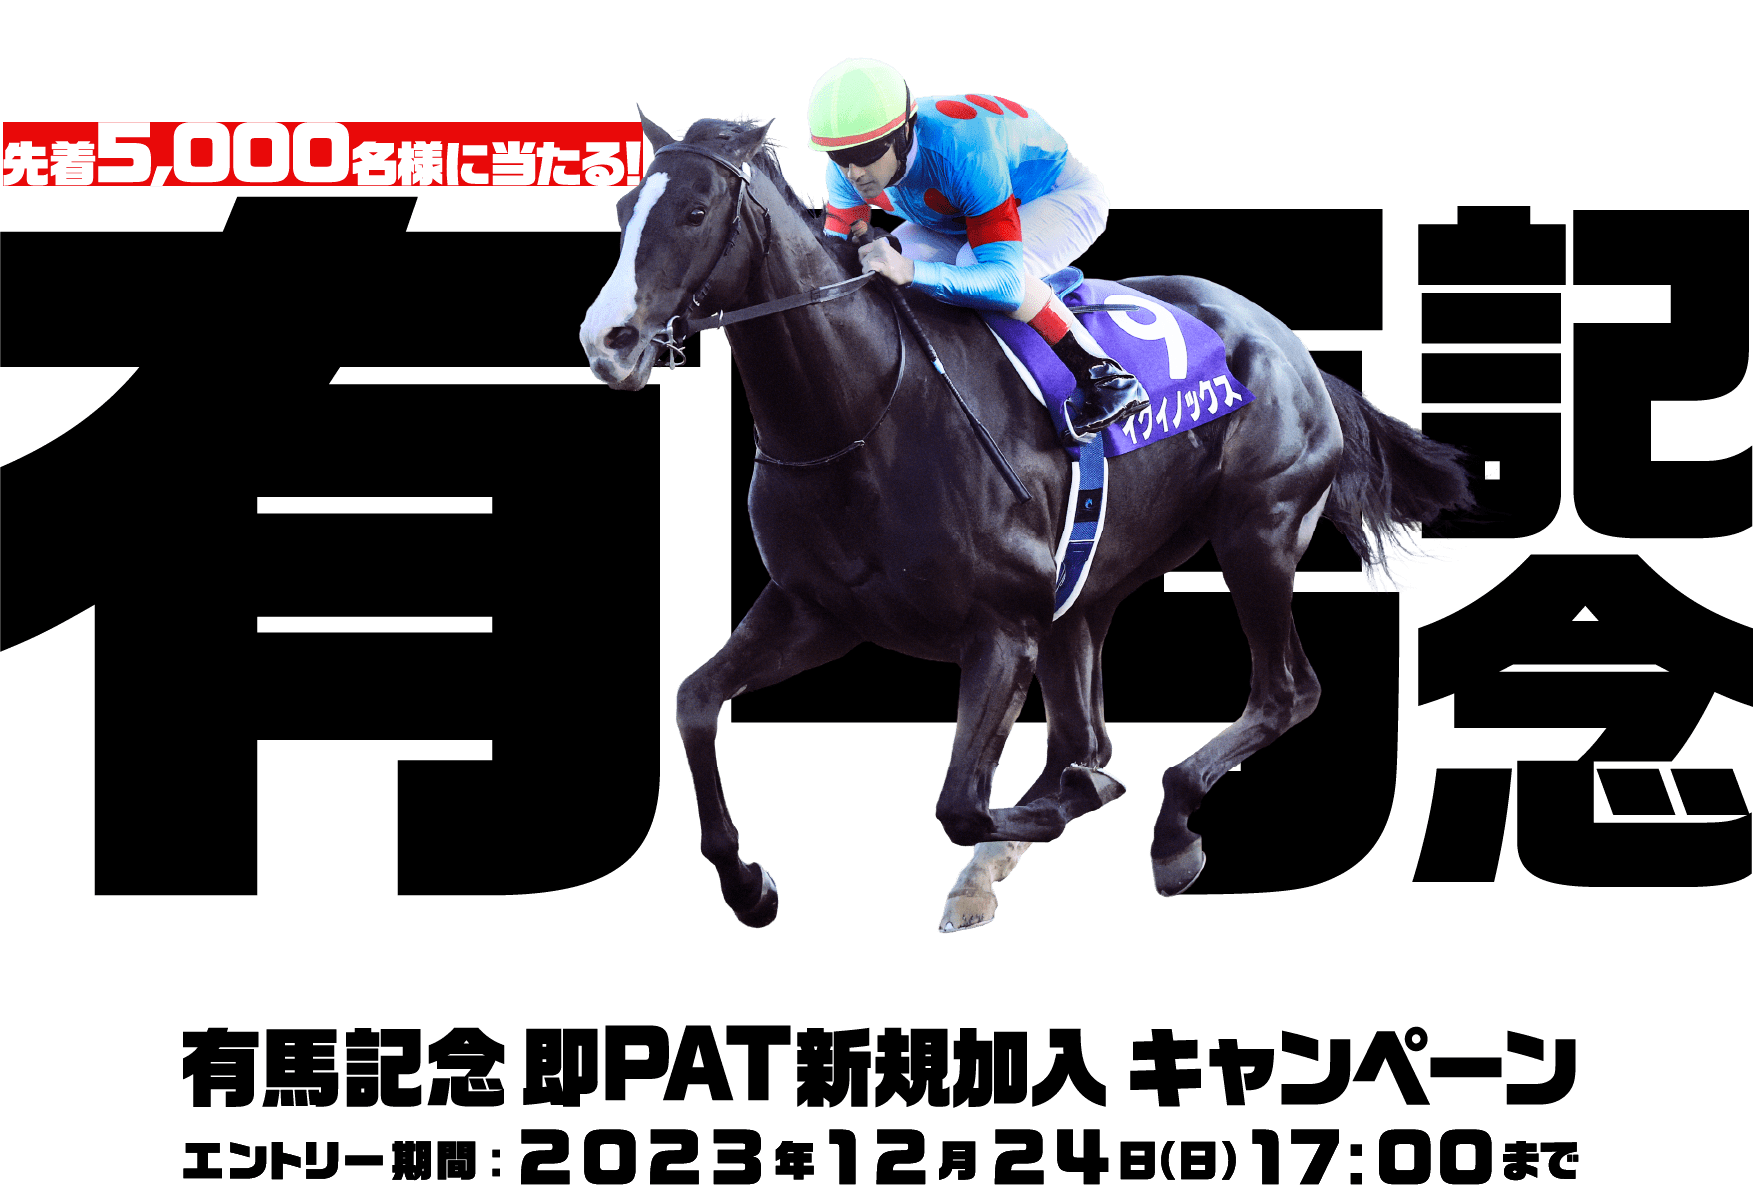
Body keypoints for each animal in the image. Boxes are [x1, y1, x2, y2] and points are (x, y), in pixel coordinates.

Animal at [581, 110, 1474, 931]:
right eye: (624, 206)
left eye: (696, 211)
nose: (608, 340)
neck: (863, 416)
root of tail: (1291, 345)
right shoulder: (817, 610)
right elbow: (695, 701)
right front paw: (747, 883)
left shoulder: (1001, 628)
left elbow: (962, 802)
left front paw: (1073, 811)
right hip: (1085, 592)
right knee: (1084, 736)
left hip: (1258, 530)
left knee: (1283, 693)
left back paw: (1167, 831)